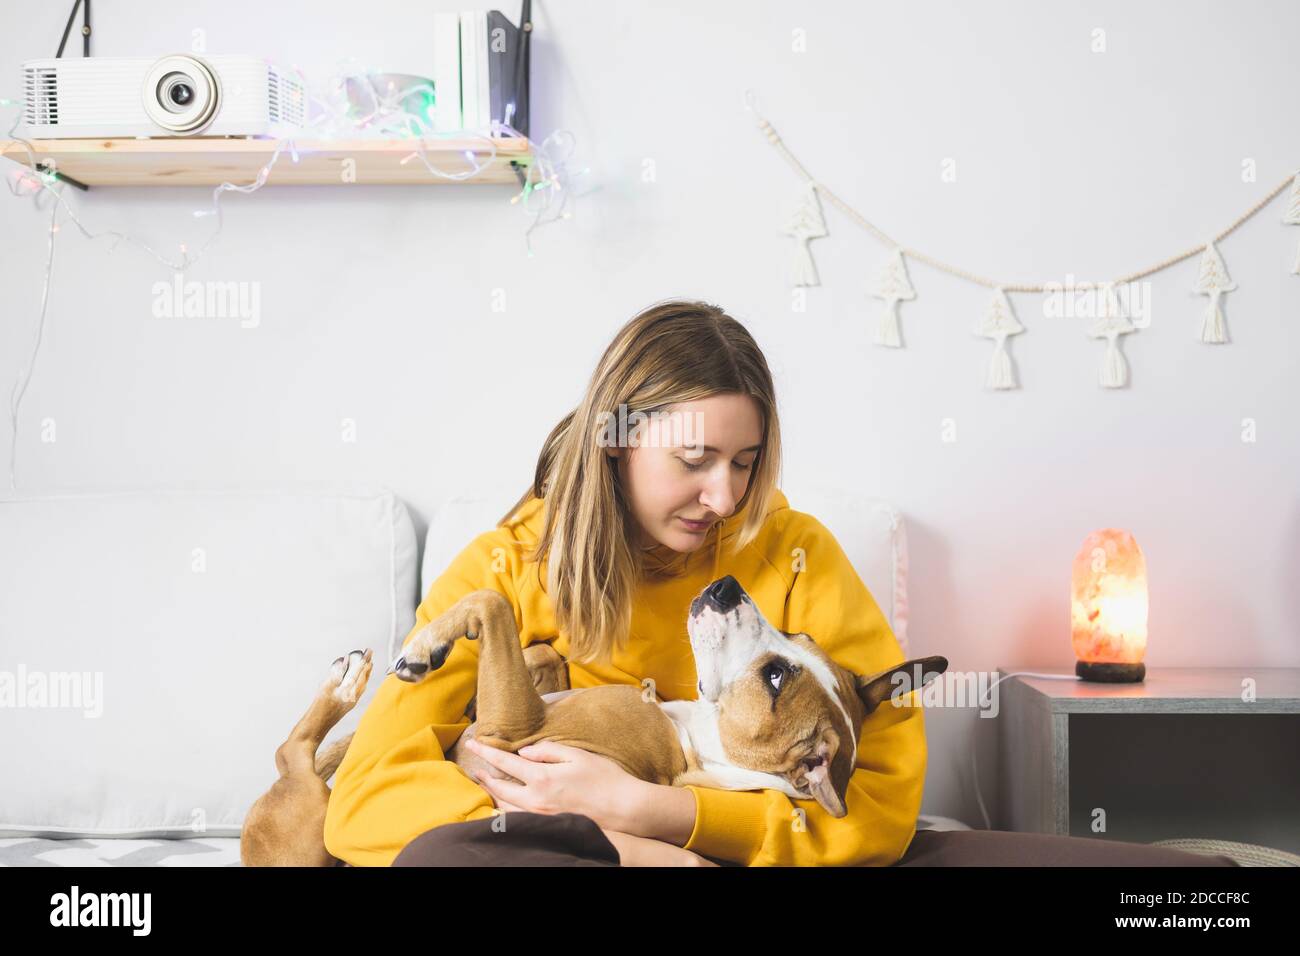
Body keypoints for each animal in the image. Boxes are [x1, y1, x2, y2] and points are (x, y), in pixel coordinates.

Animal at [239, 574, 946, 868]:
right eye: (797, 638)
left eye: (775, 678)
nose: (726, 586)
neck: (699, 735)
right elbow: (541, 652)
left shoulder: (511, 730)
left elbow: (493, 607)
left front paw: (424, 646)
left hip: (303, 833)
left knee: (291, 755)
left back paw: (347, 687)